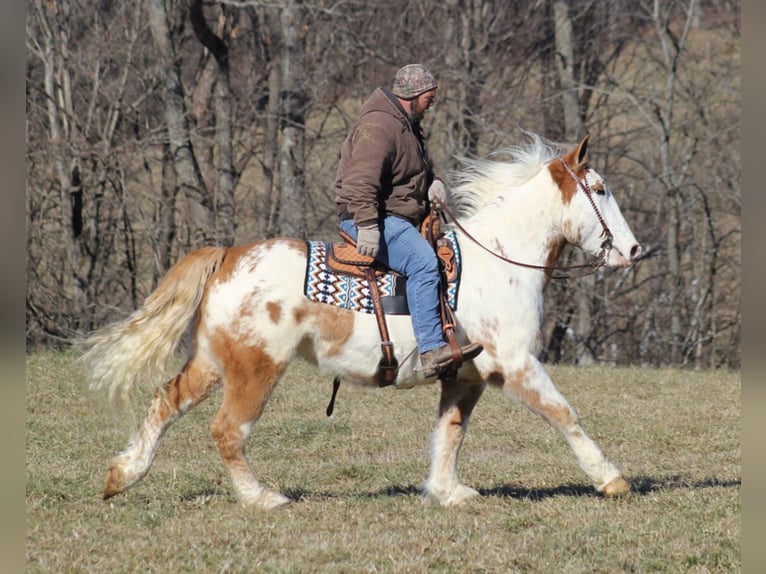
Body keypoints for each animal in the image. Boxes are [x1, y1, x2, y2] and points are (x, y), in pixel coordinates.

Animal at [81, 134, 640, 508]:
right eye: (601, 189)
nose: (633, 249)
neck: (498, 258)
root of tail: (229, 256)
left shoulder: (465, 374)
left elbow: (450, 431)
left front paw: (446, 491)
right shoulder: (517, 363)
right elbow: (565, 415)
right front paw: (611, 479)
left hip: (212, 362)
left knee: (165, 403)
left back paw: (122, 476)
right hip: (255, 370)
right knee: (227, 430)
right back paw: (261, 497)